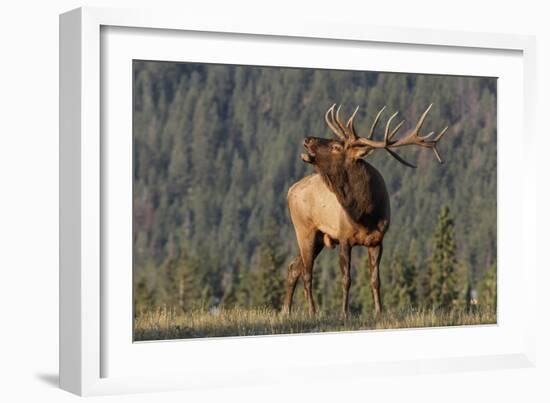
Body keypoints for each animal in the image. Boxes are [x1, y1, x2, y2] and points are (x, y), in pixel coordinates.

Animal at [282, 103, 450, 318]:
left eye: (336, 146)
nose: (307, 139)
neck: (365, 213)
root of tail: (290, 190)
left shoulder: (378, 240)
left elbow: (375, 280)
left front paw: (379, 312)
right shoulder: (344, 238)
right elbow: (346, 279)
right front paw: (344, 313)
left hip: (317, 237)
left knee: (294, 267)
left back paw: (286, 311)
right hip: (304, 229)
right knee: (307, 272)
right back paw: (311, 311)